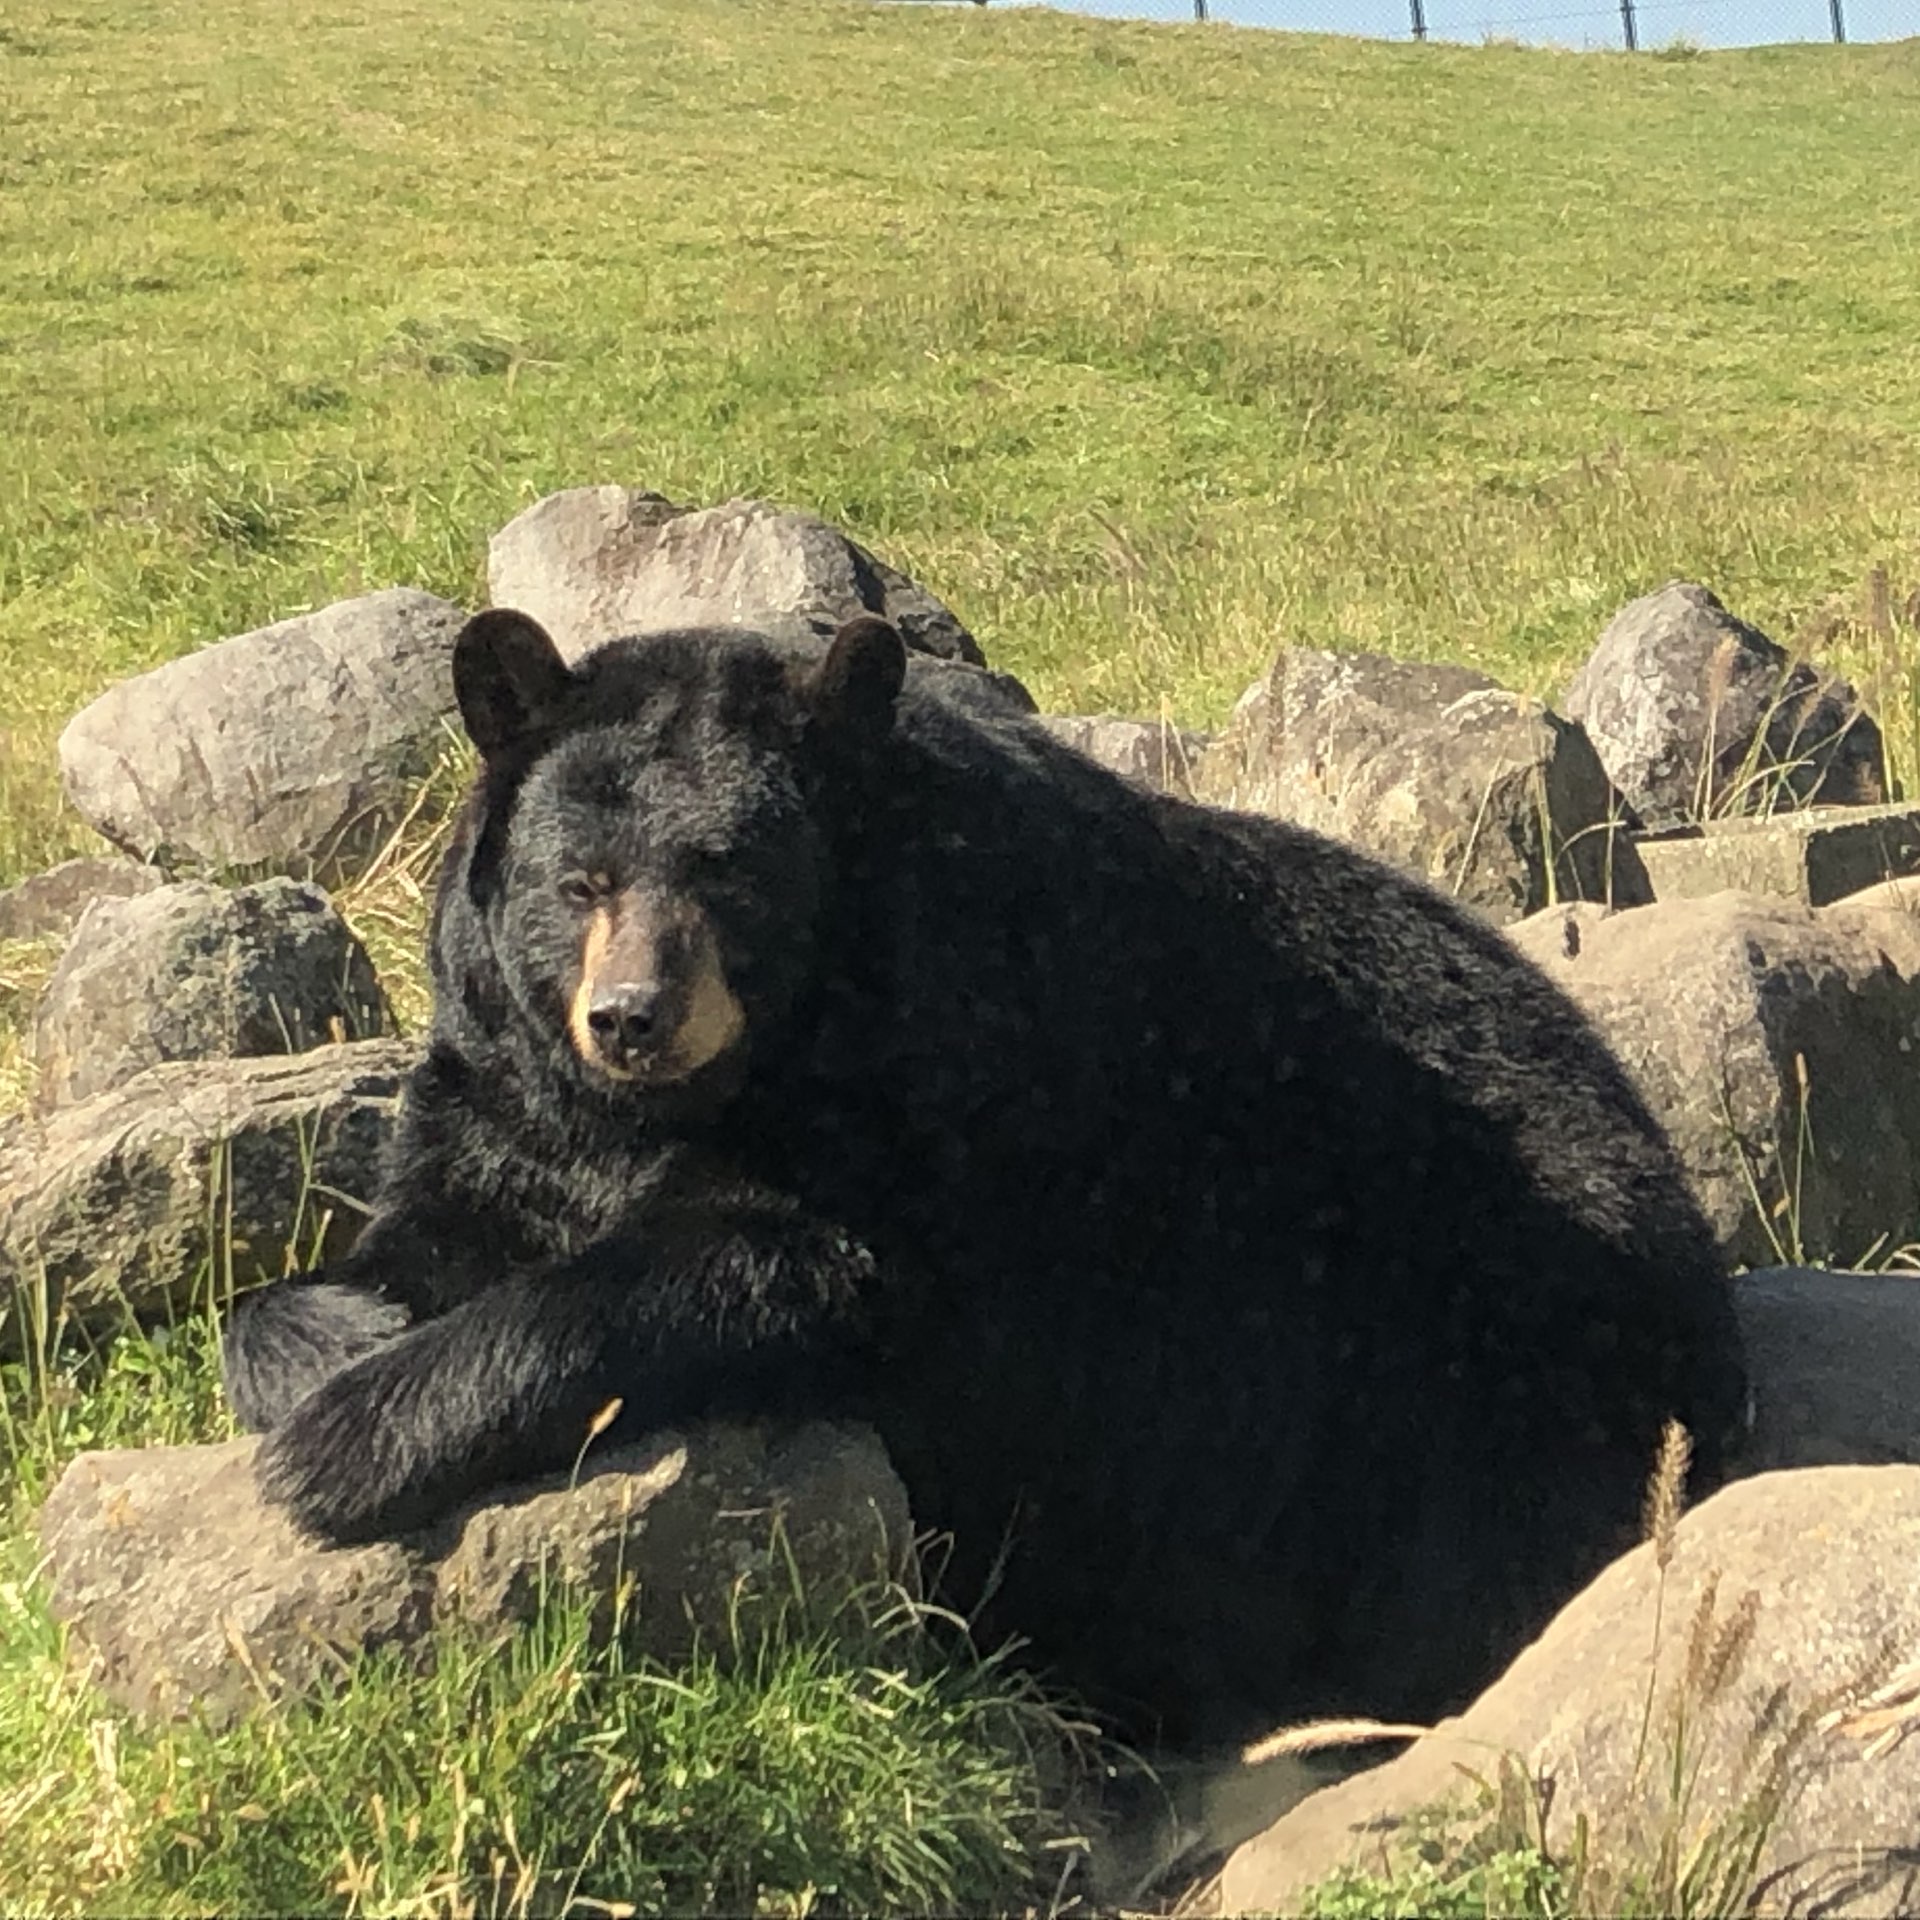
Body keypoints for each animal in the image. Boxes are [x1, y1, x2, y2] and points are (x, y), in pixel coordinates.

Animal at [228, 606, 1758, 1751]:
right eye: (578, 882)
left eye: (731, 879)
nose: (633, 1018)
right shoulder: (504, 1101)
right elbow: (413, 1225)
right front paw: (327, 1341)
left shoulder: (958, 1087)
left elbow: (782, 1259)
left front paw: (344, 1440)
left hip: (1475, 1339)